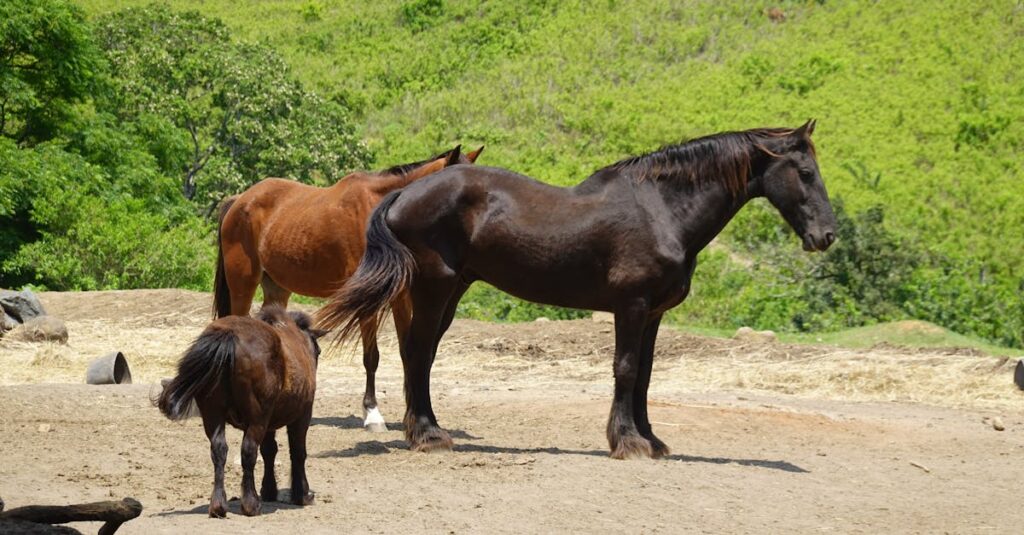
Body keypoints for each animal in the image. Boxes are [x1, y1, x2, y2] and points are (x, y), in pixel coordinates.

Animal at [157, 307, 327, 517]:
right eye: (318, 350)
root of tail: (229, 335)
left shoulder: (269, 423)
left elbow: (269, 451)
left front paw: (269, 490)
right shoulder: (302, 415)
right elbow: (297, 452)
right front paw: (302, 494)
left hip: (213, 415)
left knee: (219, 450)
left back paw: (218, 505)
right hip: (257, 419)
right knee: (248, 451)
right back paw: (250, 503)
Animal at [214, 145, 483, 432]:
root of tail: (240, 200)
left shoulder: (401, 298)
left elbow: (406, 351)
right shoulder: (368, 301)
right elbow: (371, 356)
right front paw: (372, 414)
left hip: (277, 288)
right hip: (243, 282)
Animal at [316, 121, 836, 459]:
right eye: (805, 173)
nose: (826, 236)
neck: (662, 209)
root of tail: (402, 193)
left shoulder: (653, 314)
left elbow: (645, 376)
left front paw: (651, 440)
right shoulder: (631, 306)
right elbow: (626, 370)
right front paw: (628, 442)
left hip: (448, 291)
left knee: (416, 354)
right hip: (434, 288)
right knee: (418, 353)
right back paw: (429, 435)